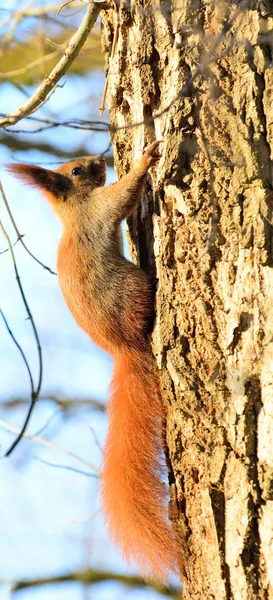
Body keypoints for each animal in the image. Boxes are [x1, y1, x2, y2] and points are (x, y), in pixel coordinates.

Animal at [7, 141, 178, 580]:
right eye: (78, 170)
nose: (102, 160)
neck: (73, 209)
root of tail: (124, 348)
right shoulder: (101, 208)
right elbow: (124, 194)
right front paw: (147, 158)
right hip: (131, 289)